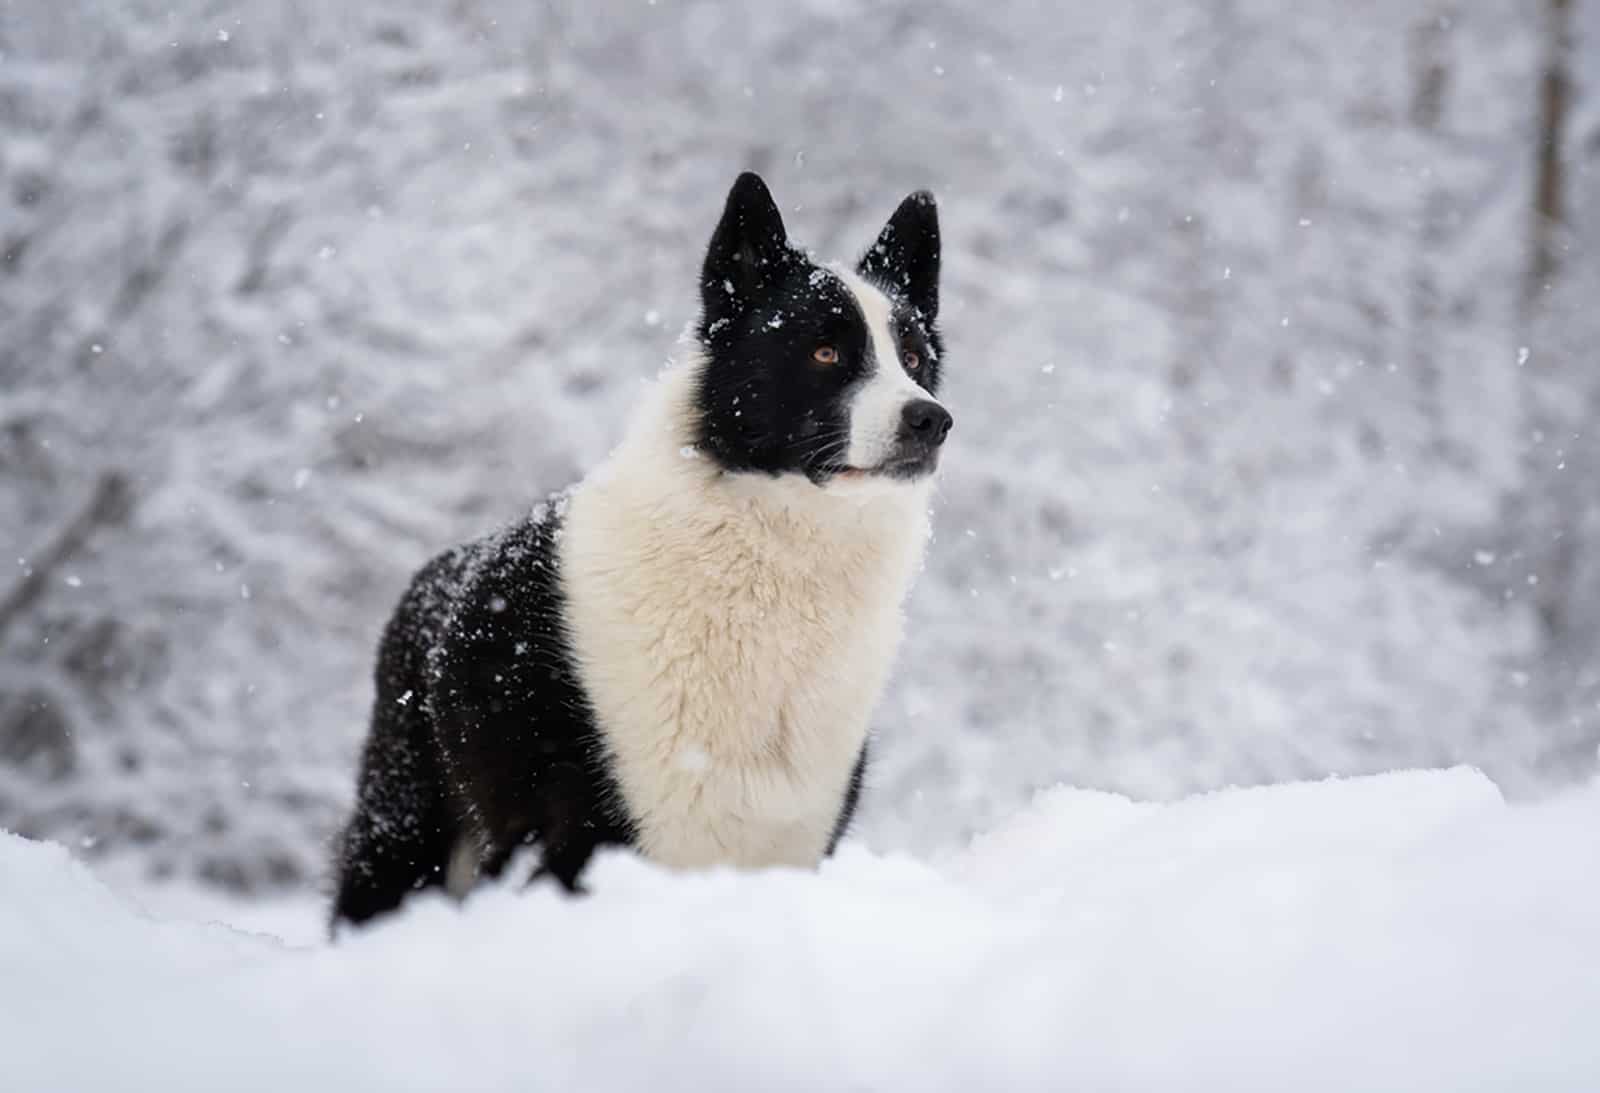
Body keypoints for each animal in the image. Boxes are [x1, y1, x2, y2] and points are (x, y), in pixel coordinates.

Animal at [328, 172, 947, 934]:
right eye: (824, 352)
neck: (769, 563)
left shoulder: (792, 840)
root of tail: (431, 577)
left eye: (914, 359)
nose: (931, 420)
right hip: (403, 829)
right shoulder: (595, 839)